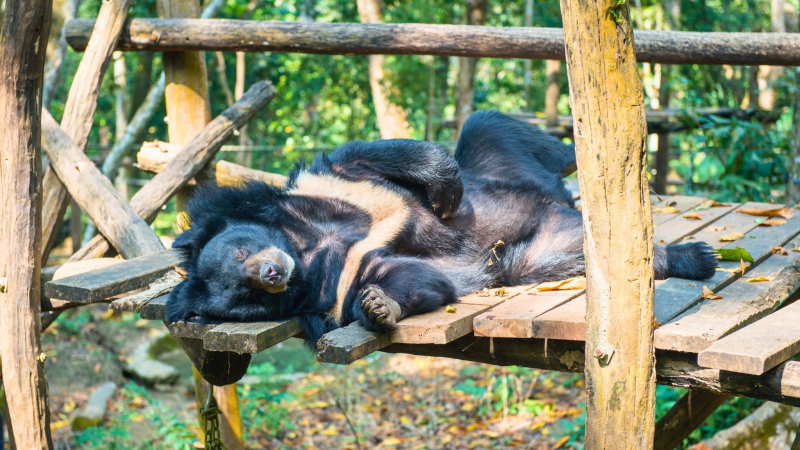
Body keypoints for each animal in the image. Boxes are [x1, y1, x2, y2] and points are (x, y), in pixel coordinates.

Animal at [166, 110, 718, 345]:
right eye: (244, 296)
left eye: (241, 254)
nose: (271, 273)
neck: (305, 246)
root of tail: (558, 203)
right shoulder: (334, 284)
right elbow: (406, 276)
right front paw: (378, 307)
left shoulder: (327, 188)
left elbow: (374, 159)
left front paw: (445, 193)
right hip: (536, 252)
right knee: (573, 257)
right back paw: (692, 257)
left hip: (501, 160)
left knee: (496, 126)